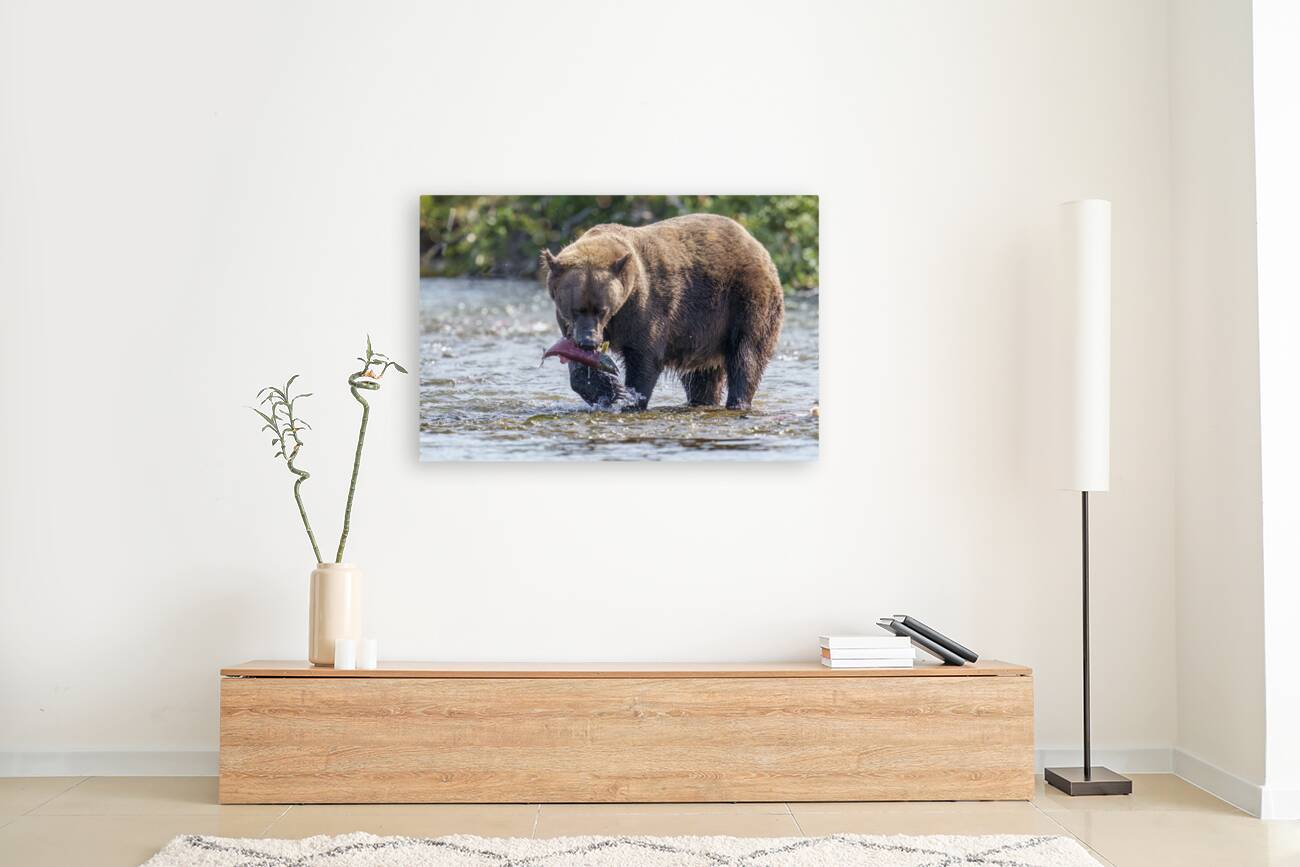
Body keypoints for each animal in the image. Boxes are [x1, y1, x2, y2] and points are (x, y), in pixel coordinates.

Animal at [541, 213, 784, 411]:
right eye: (574, 309)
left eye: (602, 309)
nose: (588, 342)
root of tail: (756, 244)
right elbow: (577, 361)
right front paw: (606, 390)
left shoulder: (645, 306)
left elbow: (645, 356)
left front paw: (631, 398)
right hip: (704, 330)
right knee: (702, 376)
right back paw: (701, 401)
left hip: (744, 300)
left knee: (746, 355)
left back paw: (738, 402)